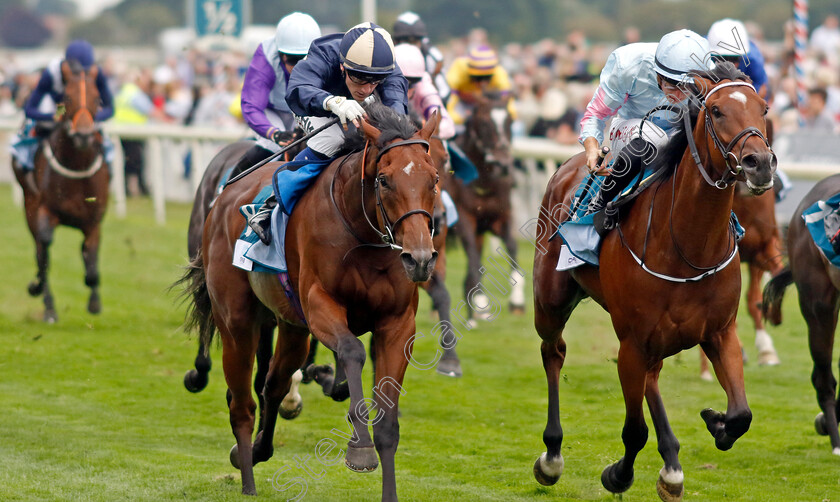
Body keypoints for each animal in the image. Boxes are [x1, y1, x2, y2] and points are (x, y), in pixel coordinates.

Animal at [11, 61, 109, 322]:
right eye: (67, 97)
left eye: (98, 98)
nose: (84, 135)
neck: (77, 164)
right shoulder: (46, 210)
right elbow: (45, 249)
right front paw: (38, 290)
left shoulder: (93, 221)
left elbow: (92, 263)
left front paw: (94, 302)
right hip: (29, 206)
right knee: (40, 250)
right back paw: (47, 305)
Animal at [177, 103, 440, 498]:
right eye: (384, 180)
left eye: (434, 179)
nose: (420, 258)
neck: (363, 236)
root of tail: (224, 197)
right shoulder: (320, 306)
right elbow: (352, 351)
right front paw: (359, 449)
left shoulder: (397, 325)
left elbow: (387, 424)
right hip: (237, 322)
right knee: (241, 403)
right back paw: (248, 480)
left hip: (292, 328)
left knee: (272, 384)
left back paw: (256, 450)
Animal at [446, 92, 524, 324]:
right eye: (483, 123)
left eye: (510, 121)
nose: (504, 164)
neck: (485, 181)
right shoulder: (464, 219)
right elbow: (473, 258)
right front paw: (480, 301)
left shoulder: (501, 217)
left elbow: (512, 247)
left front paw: (517, 302)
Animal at [532, 63, 776, 502]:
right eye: (716, 110)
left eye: (762, 107)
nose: (759, 163)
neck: (688, 246)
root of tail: (568, 164)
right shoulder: (631, 342)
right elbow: (634, 432)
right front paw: (618, 475)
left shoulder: (720, 331)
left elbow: (741, 414)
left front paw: (715, 421)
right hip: (551, 301)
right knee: (553, 351)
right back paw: (552, 456)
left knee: (651, 377)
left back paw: (672, 463)